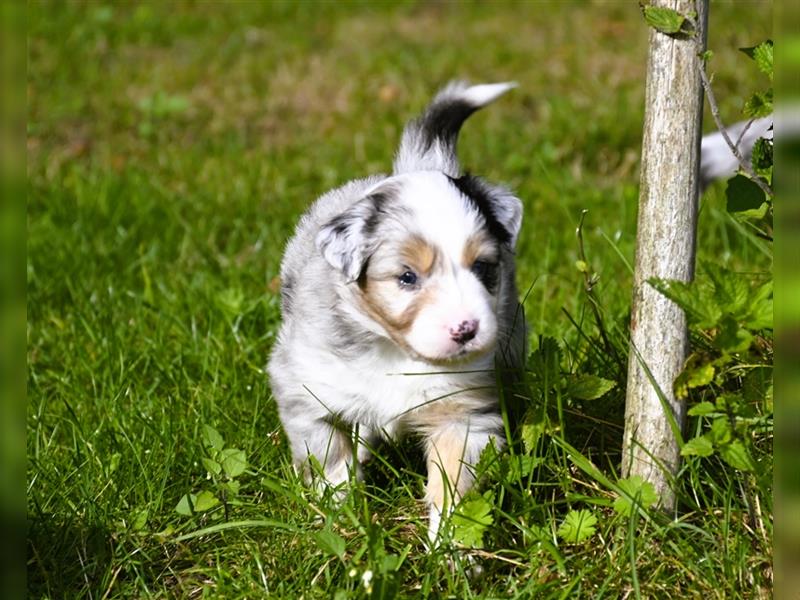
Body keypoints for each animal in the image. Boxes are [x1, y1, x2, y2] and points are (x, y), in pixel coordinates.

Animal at [270, 82, 524, 548]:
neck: (397, 351)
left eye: (483, 268)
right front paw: (341, 516)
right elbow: (330, 457)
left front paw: (450, 550)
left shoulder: (463, 415)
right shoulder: (303, 387)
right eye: (407, 277)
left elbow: (454, 487)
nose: (466, 329)